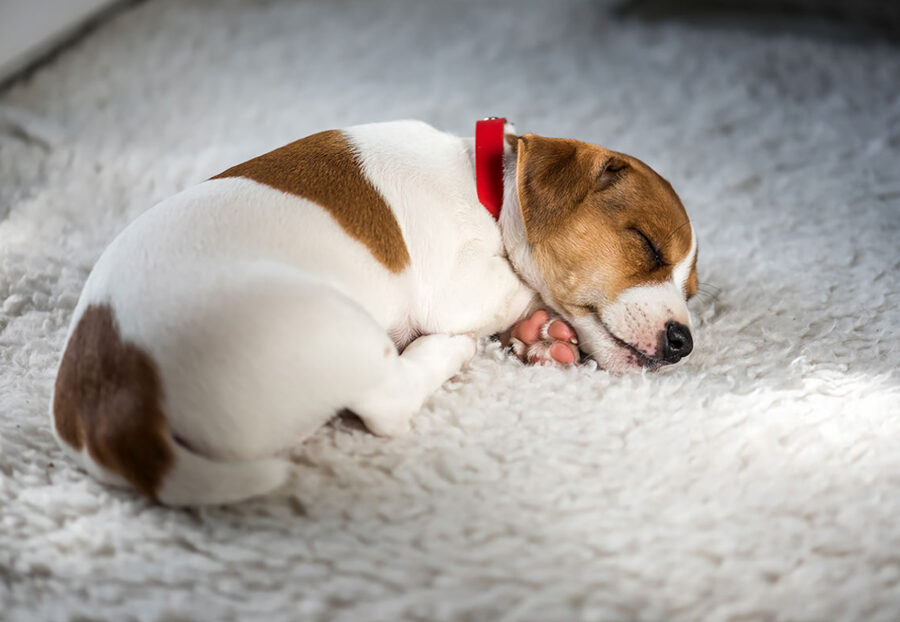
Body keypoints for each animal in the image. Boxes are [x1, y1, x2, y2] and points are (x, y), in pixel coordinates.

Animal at [49, 118, 700, 508]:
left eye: (691, 291)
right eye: (646, 246)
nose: (683, 342)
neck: (486, 188)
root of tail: (114, 406)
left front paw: (543, 337)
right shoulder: (459, 282)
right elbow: (518, 283)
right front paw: (534, 321)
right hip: (334, 323)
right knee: (388, 400)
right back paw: (445, 350)